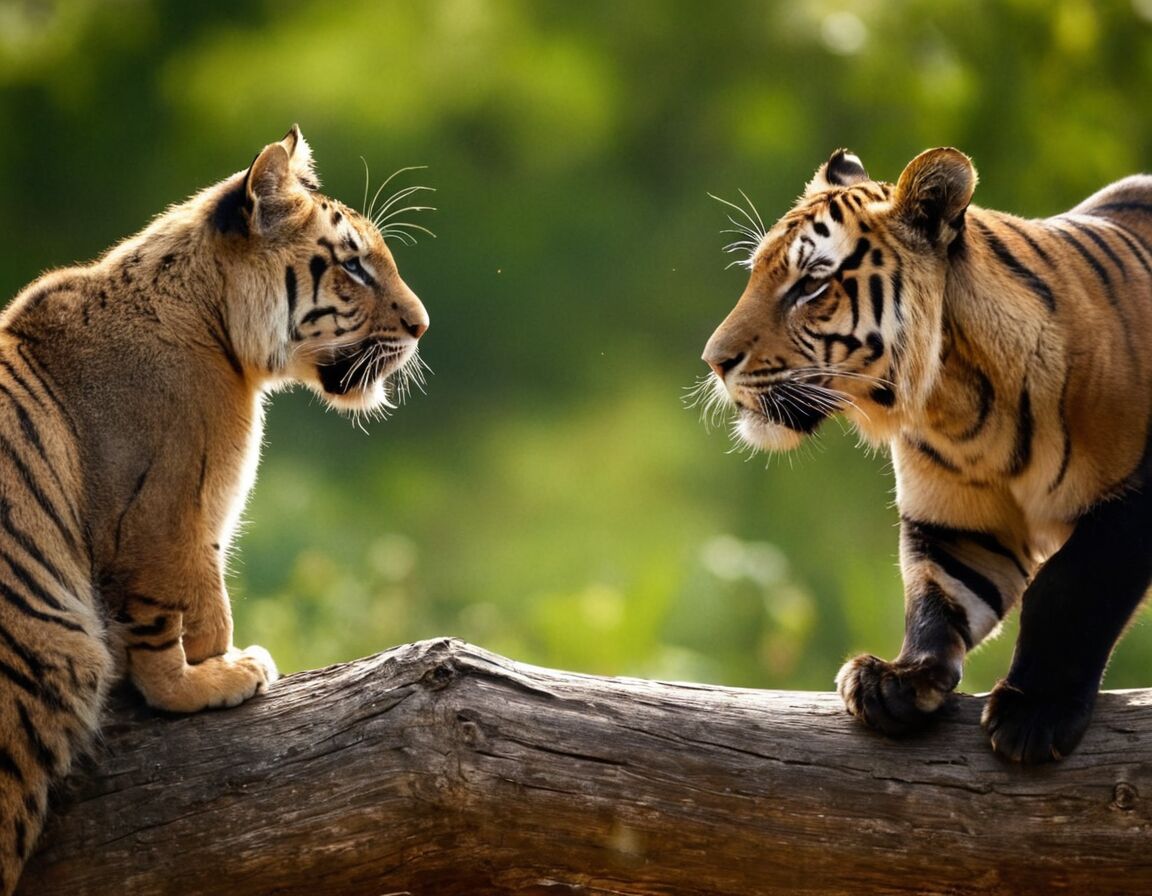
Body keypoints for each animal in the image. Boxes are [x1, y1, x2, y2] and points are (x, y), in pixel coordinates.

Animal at [0, 125, 429, 892]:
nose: (423, 326)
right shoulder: (164, 518)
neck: (225, 336)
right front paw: (214, 675)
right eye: (354, 267)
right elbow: (182, 615)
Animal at [701, 146, 1152, 764]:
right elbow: (938, 594)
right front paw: (897, 682)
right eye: (756, 273)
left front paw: (1034, 714)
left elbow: (1070, 584)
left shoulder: (1133, 502)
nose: (714, 361)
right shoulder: (958, 524)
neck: (959, 404)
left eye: (811, 284)